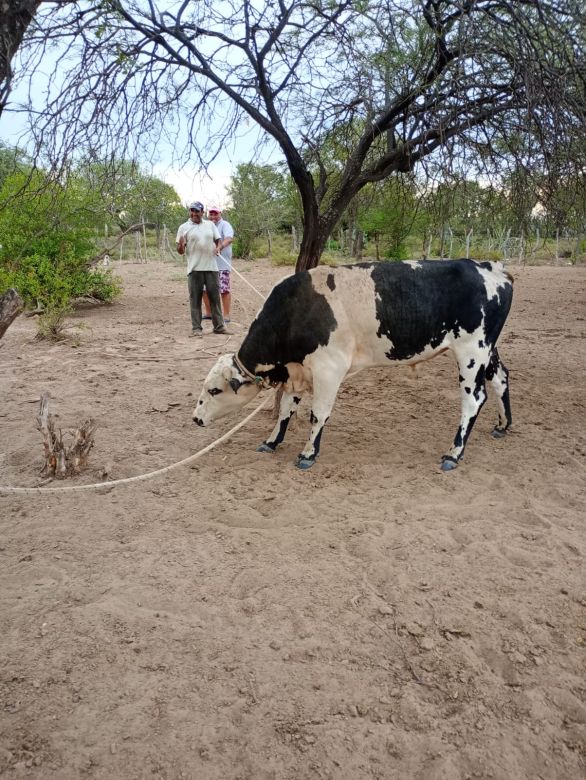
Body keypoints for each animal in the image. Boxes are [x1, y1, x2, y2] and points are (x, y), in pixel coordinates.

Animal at [193, 260, 512, 470]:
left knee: (474, 399)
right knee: (501, 379)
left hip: (471, 352)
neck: (298, 309)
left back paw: (453, 453)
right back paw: (503, 424)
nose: (195, 419)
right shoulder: (298, 370)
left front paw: (308, 454)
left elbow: (318, 414)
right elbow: (285, 409)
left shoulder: (328, 369)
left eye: (214, 390)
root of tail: (492, 267)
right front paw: (272, 441)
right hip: (488, 350)